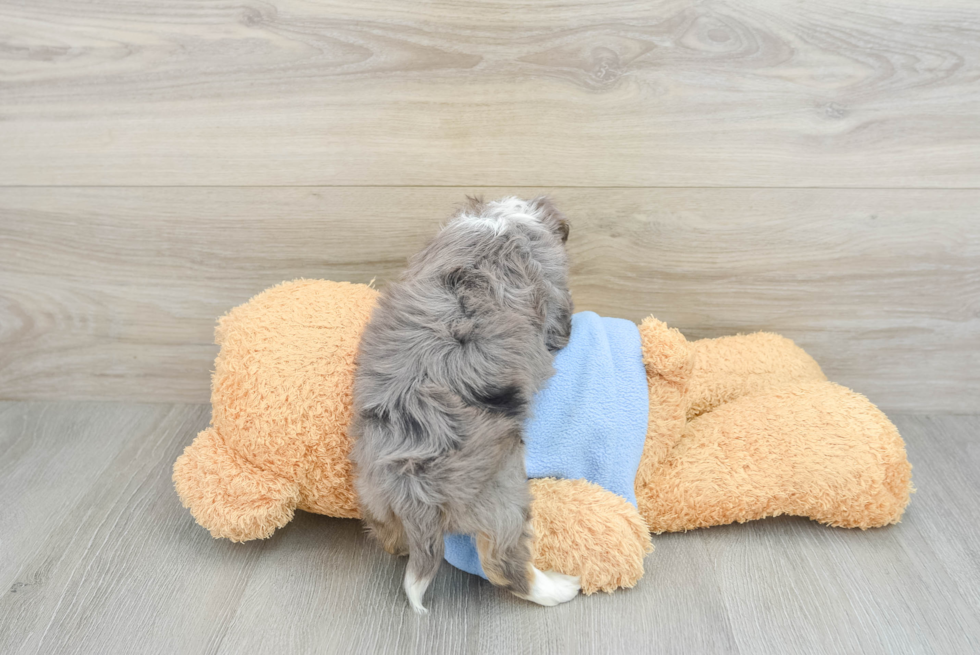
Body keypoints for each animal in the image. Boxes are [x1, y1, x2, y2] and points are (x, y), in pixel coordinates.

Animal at [352, 196, 580, 616]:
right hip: (504, 494)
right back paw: (561, 587)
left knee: (389, 538)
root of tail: (415, 490)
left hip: (374, 496)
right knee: (504, 564)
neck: (501, 222)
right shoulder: (553, 288)